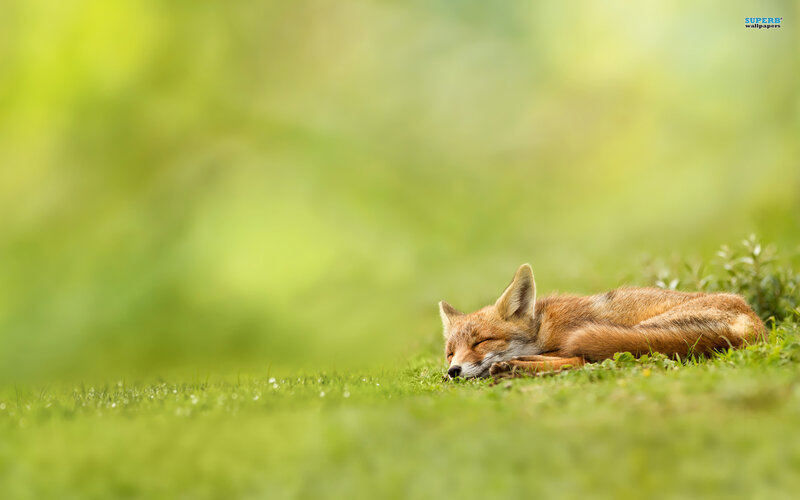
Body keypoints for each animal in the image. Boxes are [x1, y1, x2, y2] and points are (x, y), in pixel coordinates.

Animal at [440, 264, 766, 378]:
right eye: (449, 353)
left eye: (481, 341)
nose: (453, 371)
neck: (543, 327)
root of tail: (754, 323)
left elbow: (574, 358)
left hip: (639, 331)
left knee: (587, 361)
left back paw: (513, 367)